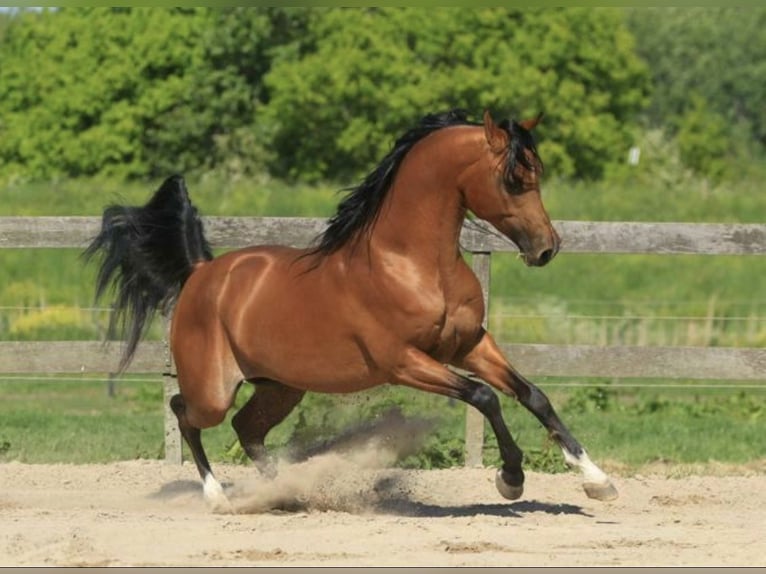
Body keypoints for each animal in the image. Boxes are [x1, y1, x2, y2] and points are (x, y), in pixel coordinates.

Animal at [87, 109, 620, 512]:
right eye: (512, 179)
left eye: (537, 174)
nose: (547, 248)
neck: (412, 264)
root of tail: (201, 272)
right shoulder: (404, 362)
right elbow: (484, 396)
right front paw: (510, 478)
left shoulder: (469, 344)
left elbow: (534, 396)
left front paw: (597, 480)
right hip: (213, 390)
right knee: (186, 413)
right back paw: (219, 497)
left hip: (282, 387)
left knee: (247, 428)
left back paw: (289, 493)